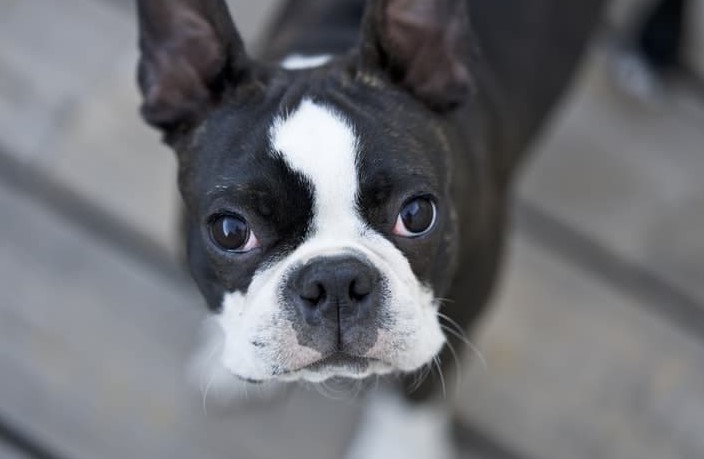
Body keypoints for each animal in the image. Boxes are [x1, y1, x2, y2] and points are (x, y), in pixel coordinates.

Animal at [136, 0, 604, 456]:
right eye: (231, 231)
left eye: (416, 215)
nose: (335, 280)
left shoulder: (470, 290)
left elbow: (420, 385)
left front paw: (399, 448)